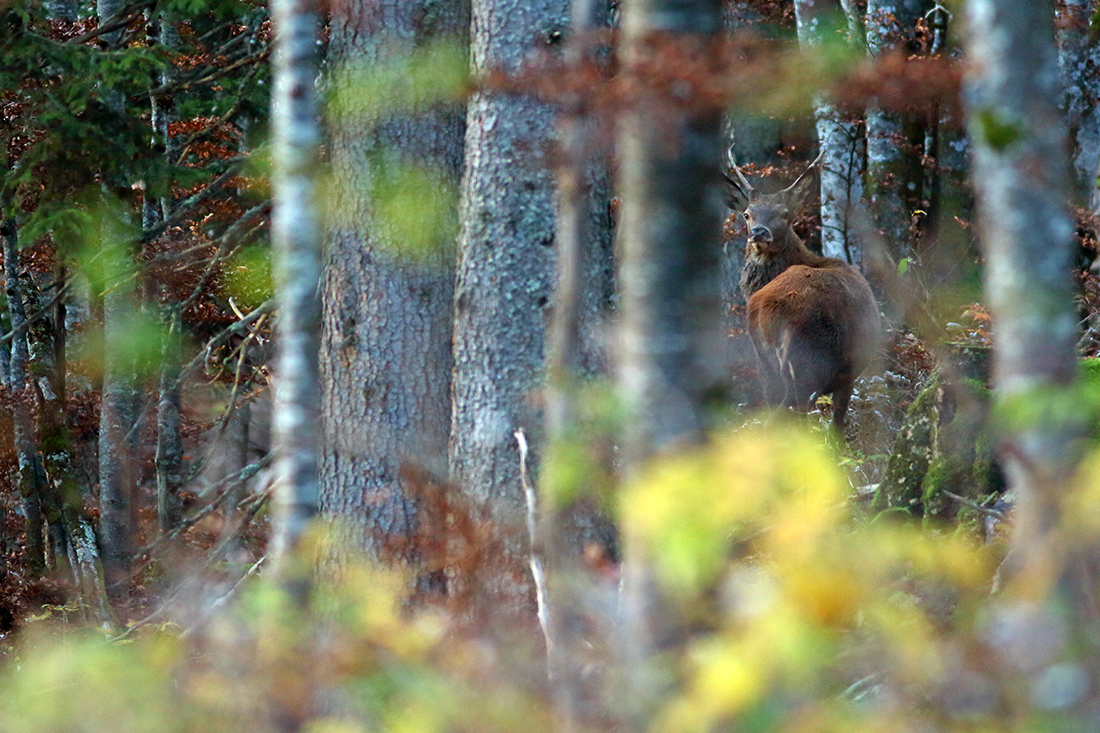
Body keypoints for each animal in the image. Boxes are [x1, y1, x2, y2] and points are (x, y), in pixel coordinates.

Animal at [721, 150, 884, 431]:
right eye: (747, 214)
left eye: (785, 214)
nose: (759, 232)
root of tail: (769, 308)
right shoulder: (848, 373)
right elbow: (838, 424)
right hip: (808, 361)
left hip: (766, 364)